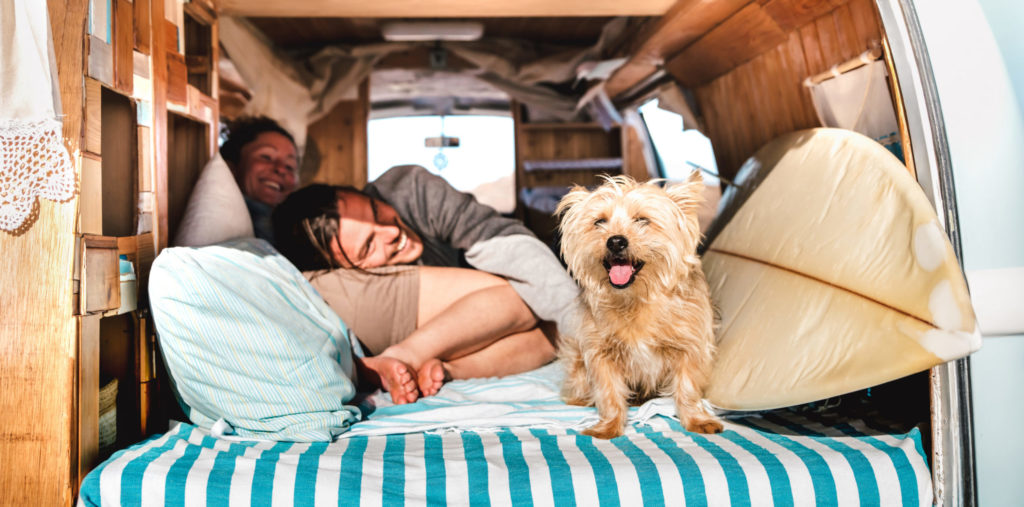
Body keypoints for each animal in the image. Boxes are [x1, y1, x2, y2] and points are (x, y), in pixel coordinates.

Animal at [557, 173, 724, 438]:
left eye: (642, 220)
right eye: (599, 221)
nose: (615, 241)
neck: (635, 299)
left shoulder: (690, 347)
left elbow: (687, 388)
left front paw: (696, 419)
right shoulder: (600, 353)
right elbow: (609, 393)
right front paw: (608, 425)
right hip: (576, 358)